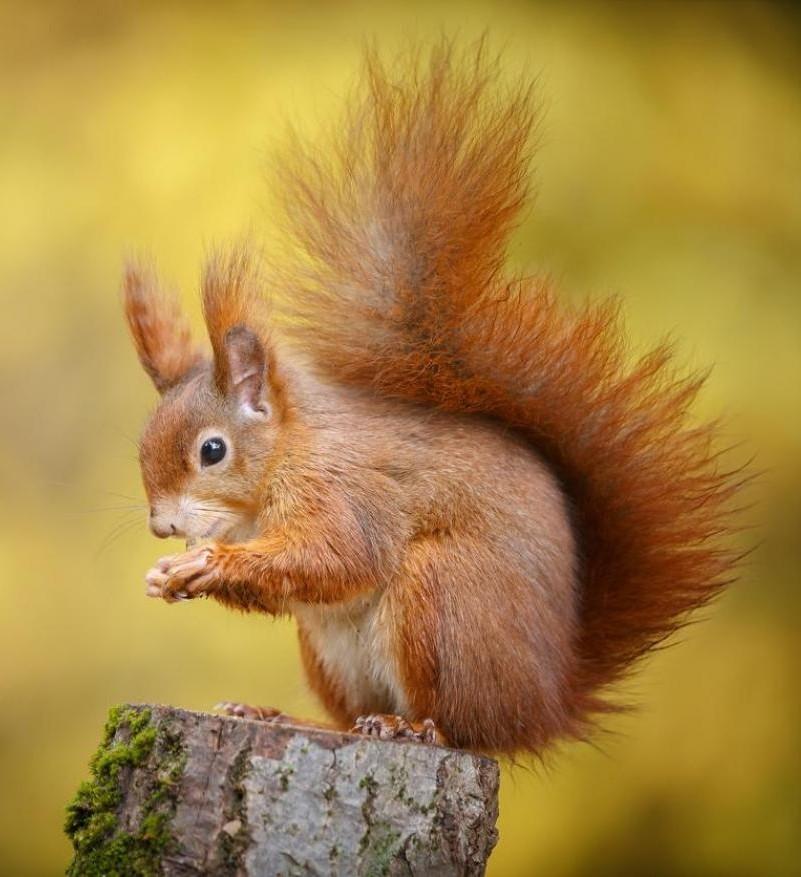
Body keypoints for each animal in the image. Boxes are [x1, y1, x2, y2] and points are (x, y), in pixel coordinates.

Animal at [122, 41, 740, 752]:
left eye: (213, 451)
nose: (162, 527)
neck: (282, 461)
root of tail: (546, 704)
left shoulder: (344, 491)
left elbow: (336, 556)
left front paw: (206, 564)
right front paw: (168, 574)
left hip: (442, 594)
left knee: (461, 726)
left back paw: (411, 726)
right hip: (330, 652)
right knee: (348, 718)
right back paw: (283, 716)